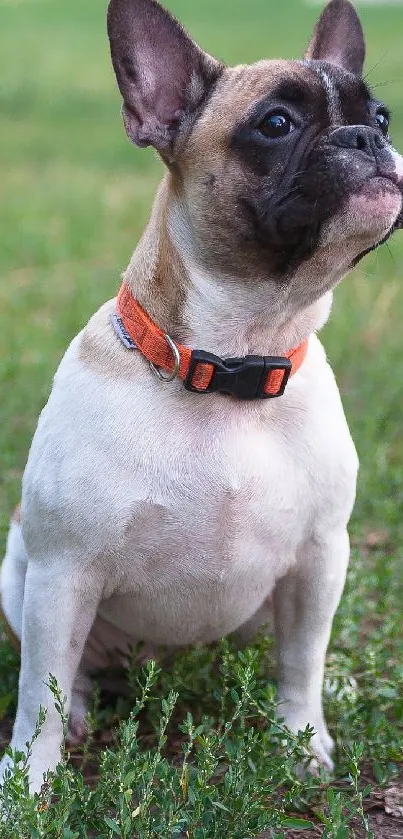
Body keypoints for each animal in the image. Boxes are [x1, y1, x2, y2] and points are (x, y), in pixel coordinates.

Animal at [0, 0, 403, 796]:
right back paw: (85, 710)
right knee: (69, 672)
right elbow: (39, 693)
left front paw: (302, 740)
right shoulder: (62, 570)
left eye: (380, 114)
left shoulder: (320, 556)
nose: (368, 137)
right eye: (275, 123)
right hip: (19, 571)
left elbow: (301, 660)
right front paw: (27, 782)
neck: (236, 360)